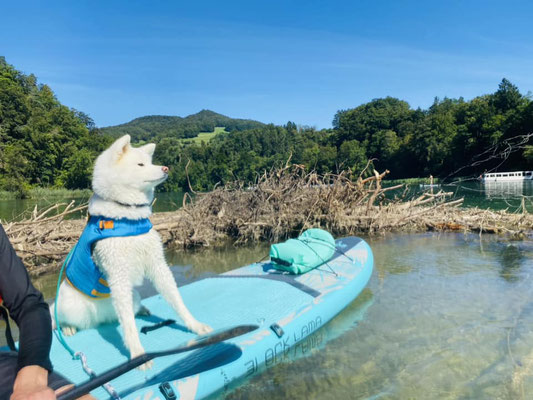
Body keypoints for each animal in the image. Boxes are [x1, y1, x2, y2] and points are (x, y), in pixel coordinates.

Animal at [51, 134, 211, 368]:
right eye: (140, 164)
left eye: (150, 162)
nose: (166, 168)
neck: (128, 217)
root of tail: (101, 318)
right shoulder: (117, 274)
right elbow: (128, 326)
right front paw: (137, 353)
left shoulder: (158, 264)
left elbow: (177, 301)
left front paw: (195, 325)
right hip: (69, 305)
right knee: (58, 319)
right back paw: (67, 327)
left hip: (132, 294)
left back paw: (142, 309)